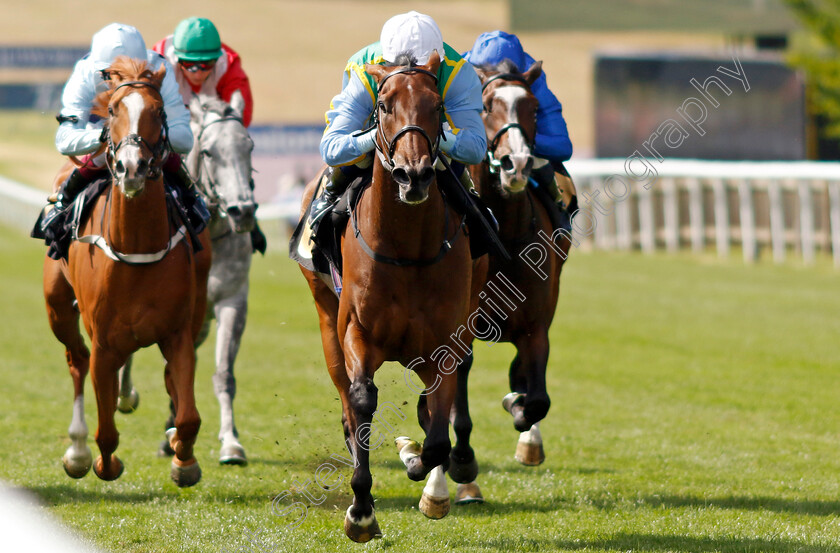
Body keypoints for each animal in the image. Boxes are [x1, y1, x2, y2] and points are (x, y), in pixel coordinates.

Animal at [44, 58, 212, 486]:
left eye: (159, 110)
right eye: (113, 110)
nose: (131, 168)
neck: (136, 250)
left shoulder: (177, 334)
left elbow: (188, 415)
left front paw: (184, 460)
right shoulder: (104, 344)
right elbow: (106, 430)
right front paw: (103, 462)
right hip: (57, 308)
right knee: (76, 360)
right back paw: (77, 451)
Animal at [115, 92, 260, 464]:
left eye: (248, 146)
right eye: (208, 152)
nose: (243, 211)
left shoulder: (231, 302)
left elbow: (222, 374)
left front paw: (231, 442)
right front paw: (127, 396)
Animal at [296, 52, 486, 544]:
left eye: (437, 105)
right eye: (382, 105)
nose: (413, 174)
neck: (407, 249)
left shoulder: (445, 341)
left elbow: (436, 436)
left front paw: (420, 467)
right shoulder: (356, 331)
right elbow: (363, 400)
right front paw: (361, 511)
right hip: (326, 322)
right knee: (348, 404)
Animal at [446, 59, 572, 500]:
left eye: (534, 107)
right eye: (485, 105)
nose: (515, 165)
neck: (507, 239)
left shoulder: (537, 328)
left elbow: (538, 399)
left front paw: (517, 408)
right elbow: (459, 399)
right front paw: (461, 463)